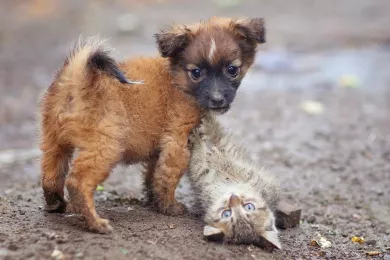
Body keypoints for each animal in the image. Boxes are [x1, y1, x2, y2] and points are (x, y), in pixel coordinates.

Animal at [39, 18, 266, 234]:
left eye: (232, 70)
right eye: (196, 72)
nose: (217, 99)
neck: (177, 79)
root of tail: (77, 81)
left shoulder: (160, 148)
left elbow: (154, 175)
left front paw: (154, 201)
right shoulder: (177, 142)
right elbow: (168, 177)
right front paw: (169, 206)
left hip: (54, 141)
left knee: (50, 175)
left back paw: (56, 204)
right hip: (105, 147)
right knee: (77, 182)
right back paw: (95, 223)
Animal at [187, 115, 282, 249]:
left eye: (226, 214)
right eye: (249, 207)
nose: (233, 198)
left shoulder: (202, 175)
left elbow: (204, 158)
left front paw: (199, 141)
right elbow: (219, 137)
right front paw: (209, 121)